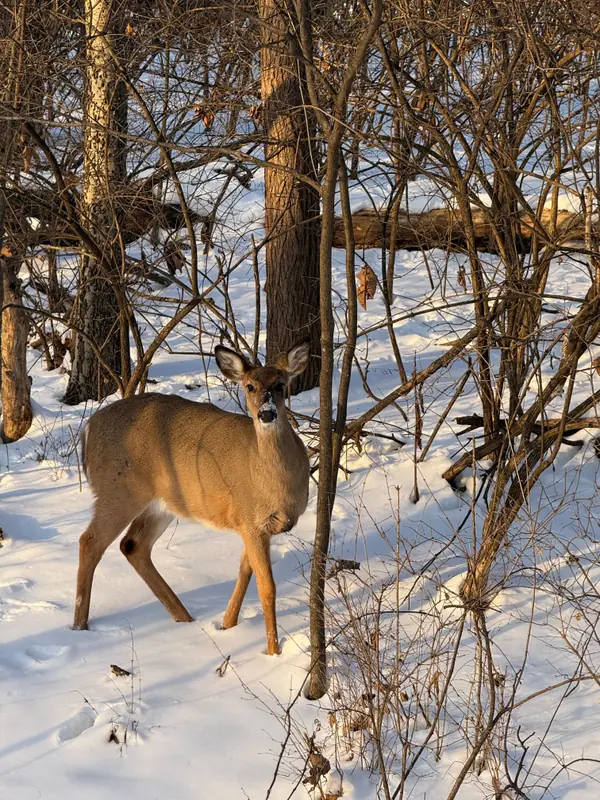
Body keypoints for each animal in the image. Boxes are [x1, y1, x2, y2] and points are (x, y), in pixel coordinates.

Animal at [72, 341, 311, 655]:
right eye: (249, 386)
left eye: (281, 384)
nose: (267, 413)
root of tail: (87, 429)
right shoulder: (251, 521)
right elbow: (266, 587)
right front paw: (273, 652)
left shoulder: (255, 525)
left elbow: (244, 572)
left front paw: (227, 625)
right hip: (117, 492)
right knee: (89, 541)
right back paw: (79, 627)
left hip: (161, 506)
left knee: (132, 545)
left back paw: (184, 618)